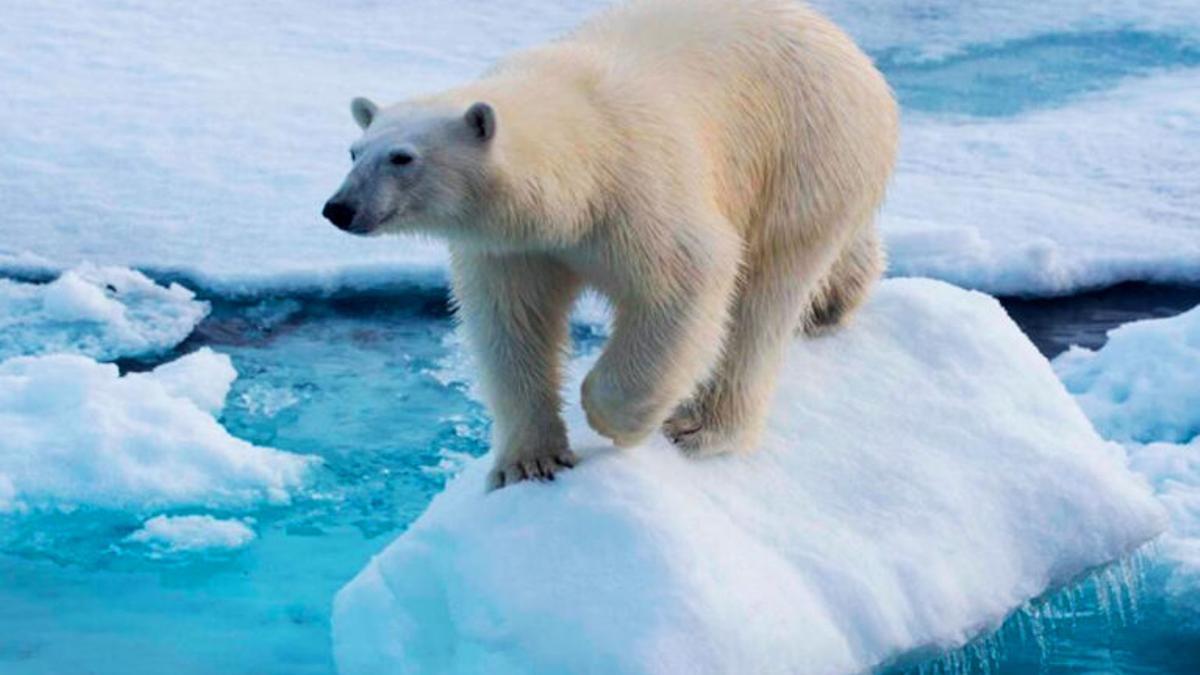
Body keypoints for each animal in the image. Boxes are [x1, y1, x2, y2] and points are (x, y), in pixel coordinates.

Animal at [324, 0, 897, 485]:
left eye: (402, 157)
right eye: (354, 151)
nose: (339, 208)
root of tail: (850, 49)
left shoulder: (640, 191)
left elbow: (686, 282)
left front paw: (615, 420)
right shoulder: (514, 248)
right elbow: (512, 325)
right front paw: (528, 461)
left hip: (805, 152)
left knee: (763, 298)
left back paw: (702, 428)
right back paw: (834, 300)